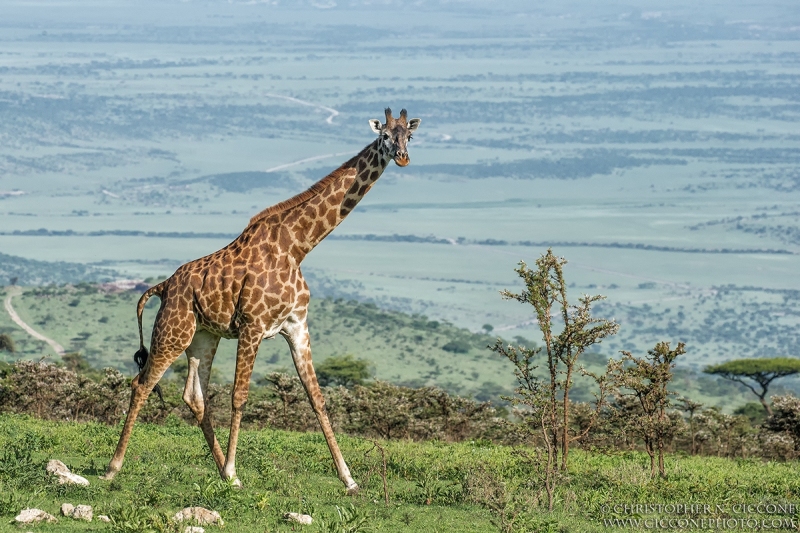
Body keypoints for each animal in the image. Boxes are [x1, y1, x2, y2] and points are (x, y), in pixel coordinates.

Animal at [100, 108, 418, 494]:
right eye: (385, 135)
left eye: (409, 136)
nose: (402, 157)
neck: (297, 247)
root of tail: (163, 286)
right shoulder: (252, 327)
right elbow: (239, 397)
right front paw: (234, 468)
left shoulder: (297, 327)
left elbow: (317, 398)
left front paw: (349, 479)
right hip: (173, 331)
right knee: (142, 384)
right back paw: (114, 467)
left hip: (203, 337)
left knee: (194, 396)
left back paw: (223, 473)